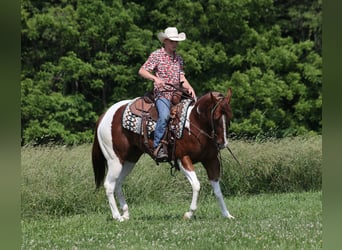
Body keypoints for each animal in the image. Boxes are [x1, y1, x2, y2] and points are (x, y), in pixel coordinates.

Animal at [91, 87, 235, 221]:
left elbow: (217, 190)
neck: (194, 123)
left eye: (229, 117)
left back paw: (125, 214)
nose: (222, 143)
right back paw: (117, 216)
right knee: (109, 185)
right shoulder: (183, 159)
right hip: (114, 160)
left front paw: (227, 214)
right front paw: (188, 214)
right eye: (216, 117)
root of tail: (104, 116)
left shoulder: (211, 160)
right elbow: (196, 185)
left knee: (118, 182)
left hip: (129, 160)